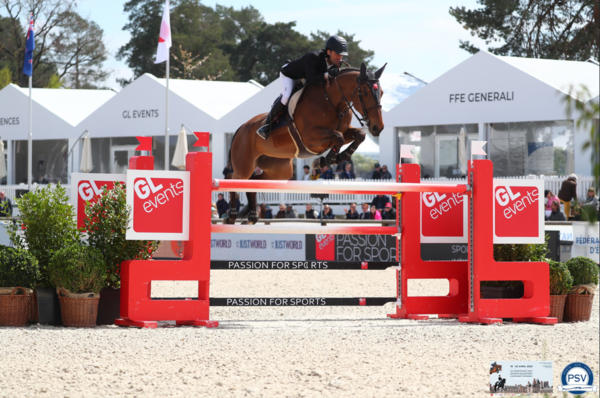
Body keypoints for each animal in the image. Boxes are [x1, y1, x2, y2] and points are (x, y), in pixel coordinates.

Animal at [223, 61, 386, 224]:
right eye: (365, 92)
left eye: (382, 93)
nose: (377, 128)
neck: (331, 101)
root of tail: (241, 128)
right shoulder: (310, 138)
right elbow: (338, 137)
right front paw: (326, 159)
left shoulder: (342, 133)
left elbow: (359, 135)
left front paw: (336, 158)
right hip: (244, 165)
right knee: (233, 180)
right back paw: (231, 216)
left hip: (279, 170)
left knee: (254, 181)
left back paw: (251, 218)